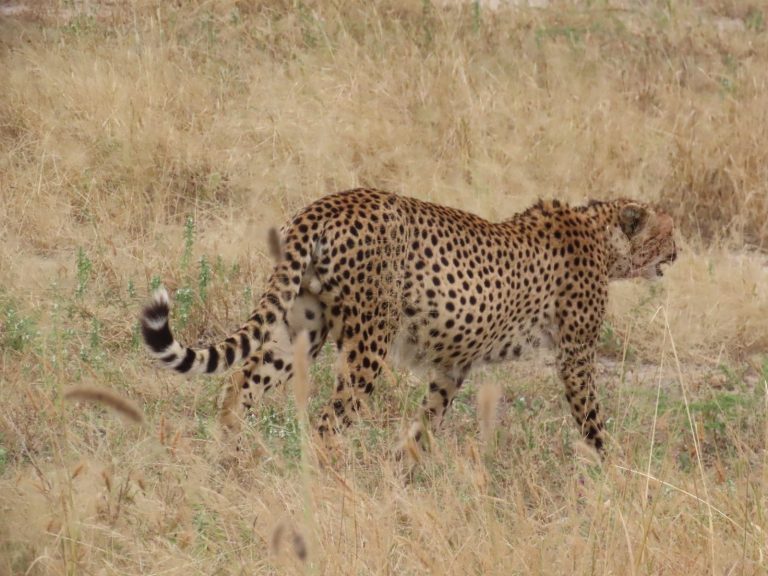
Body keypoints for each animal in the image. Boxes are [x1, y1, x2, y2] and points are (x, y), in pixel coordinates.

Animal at [141, 188, 677, 455]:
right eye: (669, 233)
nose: (677, 253)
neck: (602, 237)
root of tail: (329, 202)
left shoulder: (454, 365)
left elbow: (427, 421)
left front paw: (404, 470)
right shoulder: (577, 355)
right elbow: (592, 418)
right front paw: (610, 474)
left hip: (303, 326)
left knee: (239, 387)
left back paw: (228, 463)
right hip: (368, 340)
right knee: (328, 423)